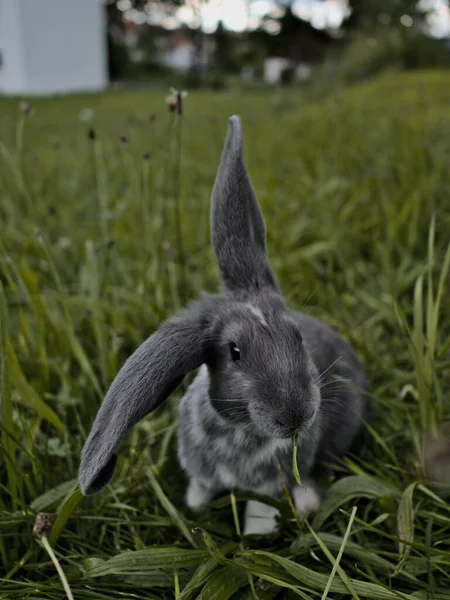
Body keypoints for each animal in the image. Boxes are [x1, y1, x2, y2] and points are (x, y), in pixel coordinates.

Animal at [79, 115, 370, 536]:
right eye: (234, 352)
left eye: (297, 336)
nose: (296, 415)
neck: (241, 433)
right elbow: (201, 487)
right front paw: (196, 507)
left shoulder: (276, 481)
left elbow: (274, 501)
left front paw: (267, 529)